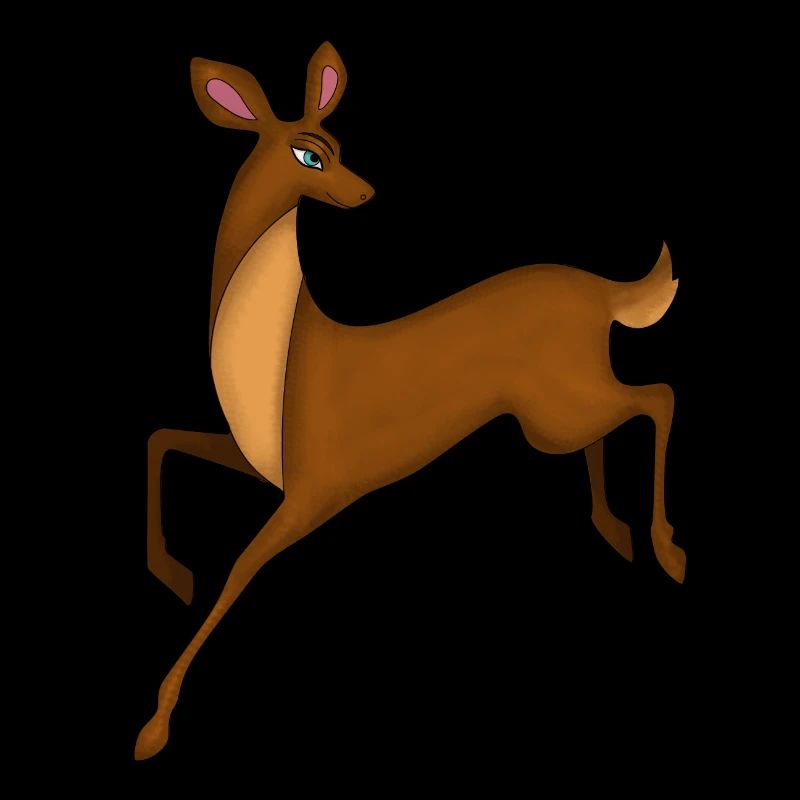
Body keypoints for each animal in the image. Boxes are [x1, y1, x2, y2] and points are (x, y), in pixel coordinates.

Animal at [136, 42, 683, 760]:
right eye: (309, 154)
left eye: (335, 145)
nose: (365, 191)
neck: (283, 365)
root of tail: (607, 292)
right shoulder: (267, 467)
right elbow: (161, 440)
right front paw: (170, 574)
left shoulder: (315, 488)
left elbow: (236, 571)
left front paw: (153, 726)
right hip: (553, 412)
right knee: (617, 418)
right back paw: (613, 530)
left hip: (557, 407)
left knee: (660, 396)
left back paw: (668, 552)